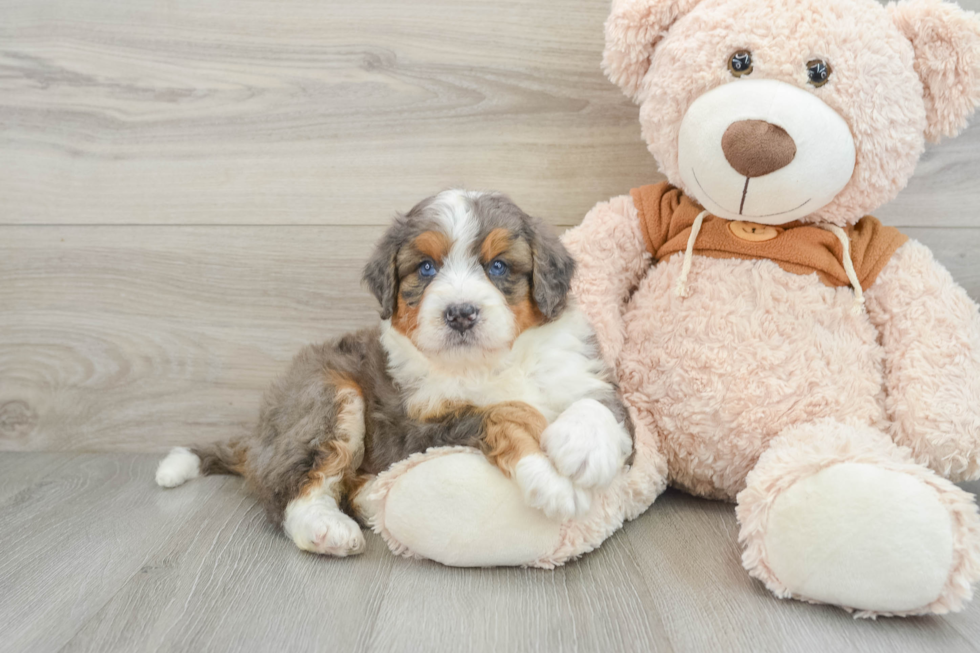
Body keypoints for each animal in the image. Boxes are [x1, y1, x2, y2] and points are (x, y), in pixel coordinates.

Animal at [157, 190, 632, 556]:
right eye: (426, 268)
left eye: (498, 266)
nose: (460, 313)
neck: (489, 362)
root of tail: (260, 435)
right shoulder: (412, 430)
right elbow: (506, 411)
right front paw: (551, 478)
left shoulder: (583, 371)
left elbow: (601, 406)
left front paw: (584, 449)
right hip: (328, 394)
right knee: (292, 491)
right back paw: (328, 528)